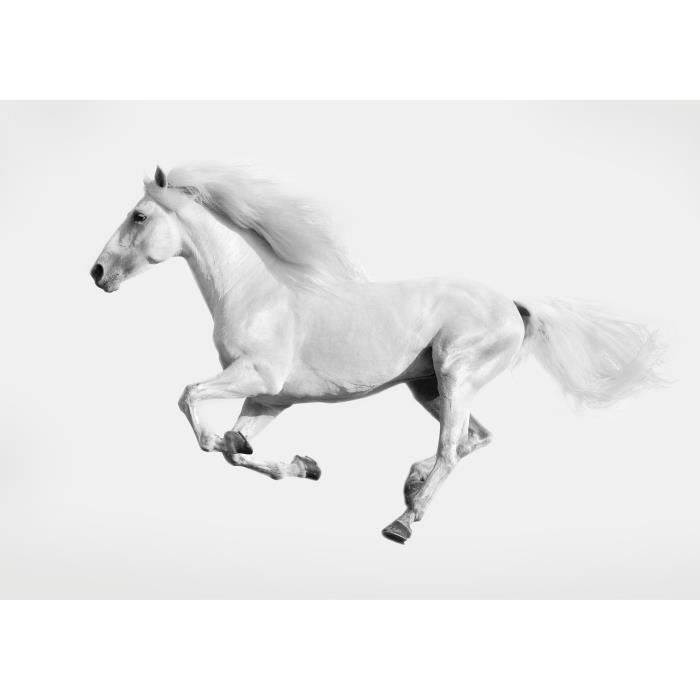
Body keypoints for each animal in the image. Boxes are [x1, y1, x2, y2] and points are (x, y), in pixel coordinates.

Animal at [90, 164, 663, 544]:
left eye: (138, 216)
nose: (96, 273)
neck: (256, 292)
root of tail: (514, 305)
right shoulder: (271, 399)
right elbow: (238, 452)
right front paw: (303, 465)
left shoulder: (256, 377)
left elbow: (190, 400)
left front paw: (222, 438)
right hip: (428, 386)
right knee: (476, 437)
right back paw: (411, 486)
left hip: (455, 375)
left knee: (454, 448)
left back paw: (402, 522)